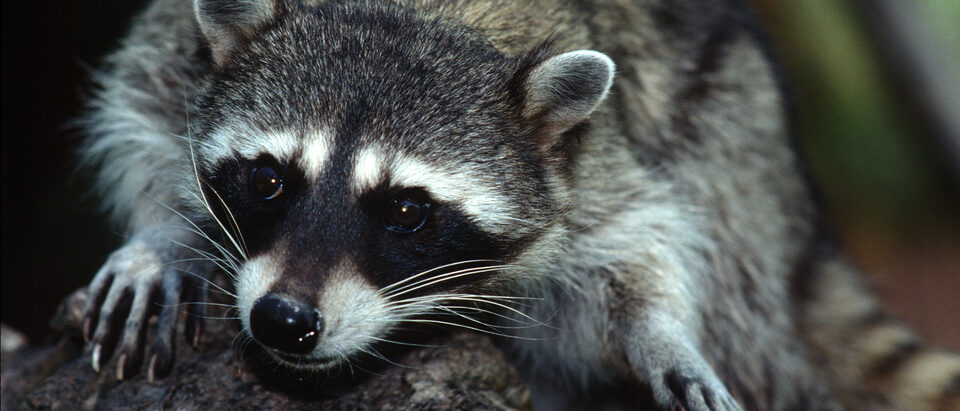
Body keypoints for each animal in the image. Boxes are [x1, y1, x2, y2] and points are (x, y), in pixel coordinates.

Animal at [78, 0, 960, 409]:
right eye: (268, 180)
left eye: (407, 212)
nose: (284, 319)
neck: (420, 15)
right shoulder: (180, 48)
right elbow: (141, 110)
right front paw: (161, 236)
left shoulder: (585, 158)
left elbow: (638, 240)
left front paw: (660, 331)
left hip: (736, 137)